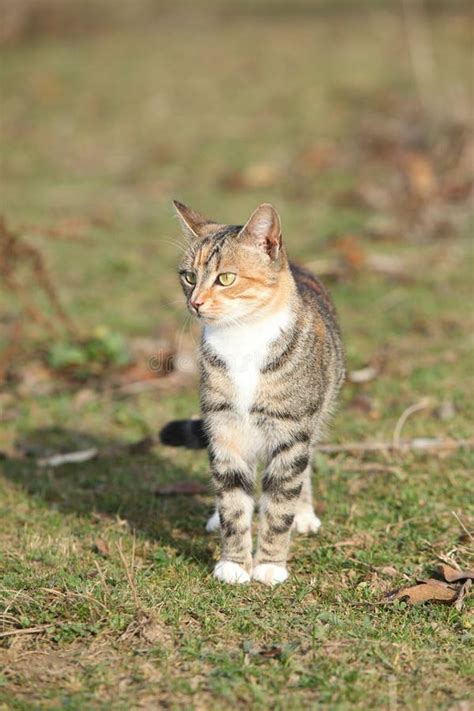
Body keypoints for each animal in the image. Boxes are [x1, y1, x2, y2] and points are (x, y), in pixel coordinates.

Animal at [160, 199, 344, 584]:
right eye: (189, 276)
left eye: (225, 278)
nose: (195, 303)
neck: (241, 338)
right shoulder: (222, 424)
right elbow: (232, 498)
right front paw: (233, 563)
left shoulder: (291, 430)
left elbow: (280, 502)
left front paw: (270, 564)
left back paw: (304, 513)